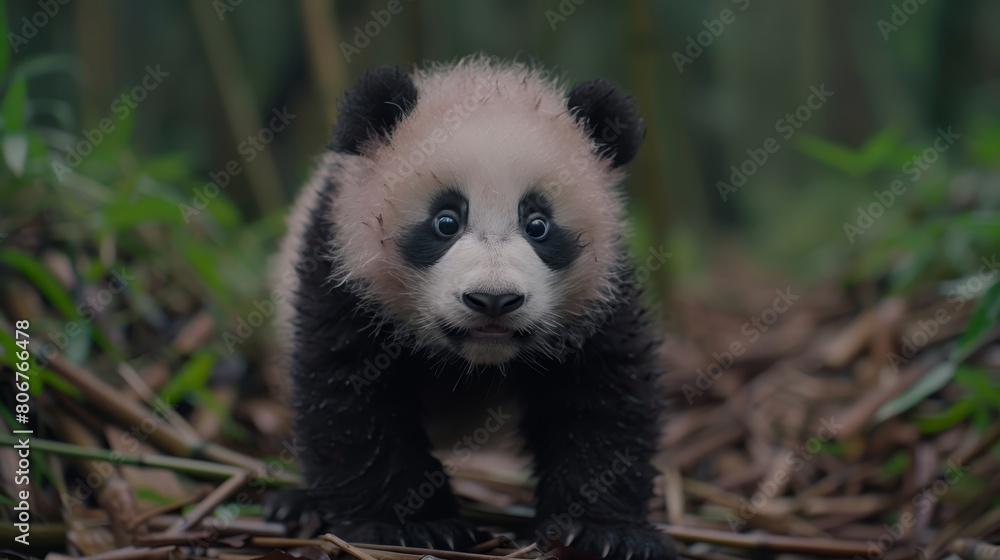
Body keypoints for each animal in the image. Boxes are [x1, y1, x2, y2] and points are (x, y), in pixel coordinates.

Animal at [267, 56, 676, 560]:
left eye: (538, 224)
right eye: (446, 221)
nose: (493, 299)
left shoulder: (601, 297)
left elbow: (604, 396)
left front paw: (606, 533)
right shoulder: (340, 270)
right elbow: (350, 399)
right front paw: (412, 528)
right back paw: (295, 505)